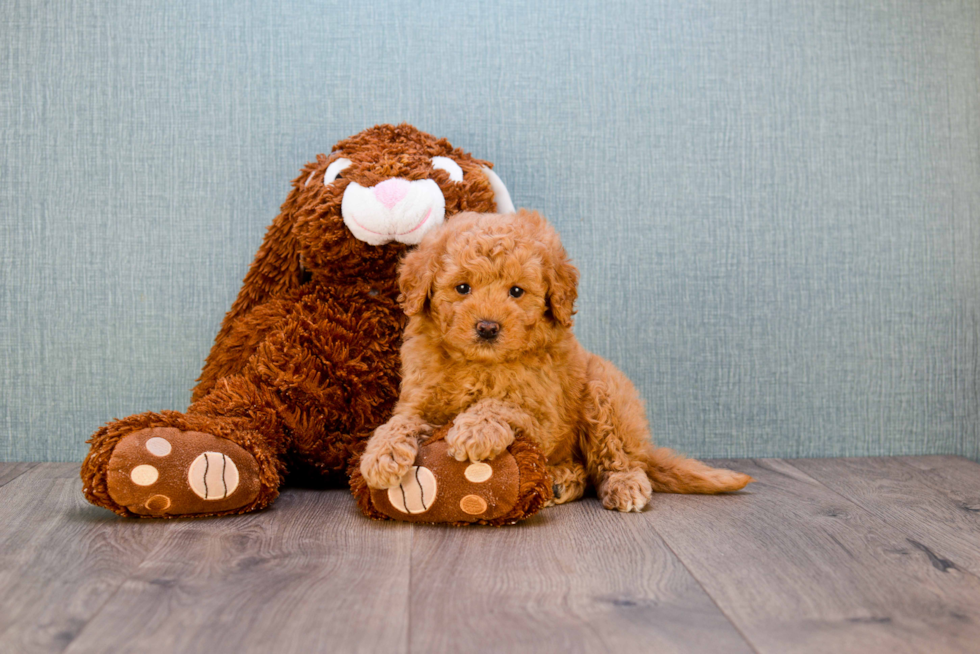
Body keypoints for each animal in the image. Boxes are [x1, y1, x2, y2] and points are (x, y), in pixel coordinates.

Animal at [360, 210, 752, 512]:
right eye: (462, 288)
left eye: (516, 291)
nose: (487, 327)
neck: (479, 364)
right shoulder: (418, 400)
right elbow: (400, 422)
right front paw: (380, 454)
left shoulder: (543, 416)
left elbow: (502, 405)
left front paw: (475, 429)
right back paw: (562, 481)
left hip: (604, 391)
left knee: (618, 457)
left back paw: (622, 484)